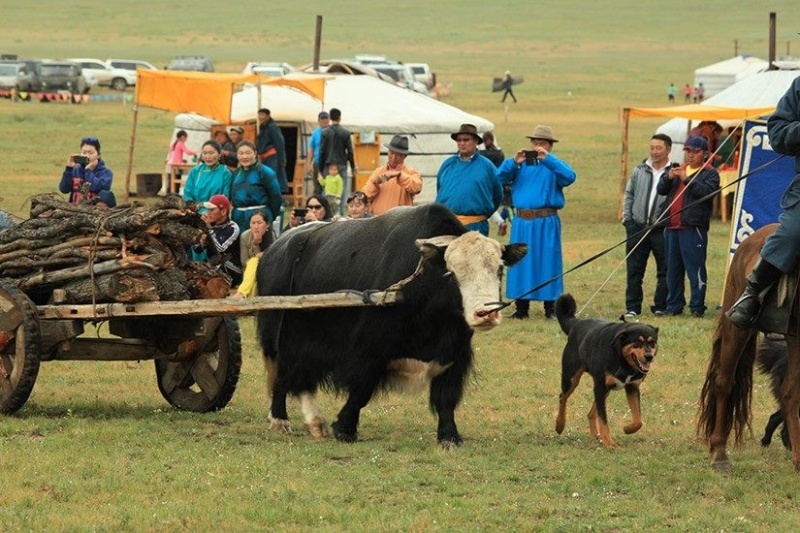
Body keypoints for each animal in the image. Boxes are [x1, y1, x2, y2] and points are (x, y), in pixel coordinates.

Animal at [552, 294, 660, 446]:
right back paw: (560, 425)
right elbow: (604, 420)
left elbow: (638, 420)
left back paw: (595, 436)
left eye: (652, 342)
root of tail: (576, 323)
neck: (621, 358)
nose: (649, 357)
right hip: (571, 378)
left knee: (591, 413)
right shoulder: (600, 386)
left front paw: (627, 429)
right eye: (637, 342)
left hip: (604, 389)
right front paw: (610, 443)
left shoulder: (632, 387)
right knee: (563, 397)